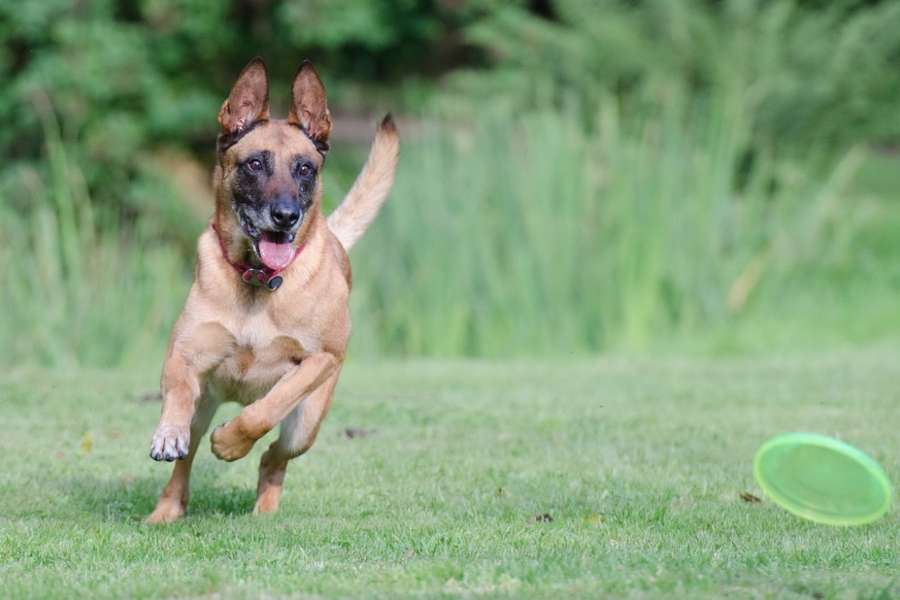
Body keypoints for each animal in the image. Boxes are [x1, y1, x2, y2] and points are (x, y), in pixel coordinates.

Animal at [145, 58, 398, 524]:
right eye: (255, 164)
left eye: (305, 168)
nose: (285, 216)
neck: (258, 282)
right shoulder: (185, 353)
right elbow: (177, 390)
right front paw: (167, 434)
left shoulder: (319, 361)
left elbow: (269, 406)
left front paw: (230, 442)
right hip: (205, 406)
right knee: (186, 461)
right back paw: (166, 510)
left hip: (307, 425)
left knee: (273, 457)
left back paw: (264, 507)